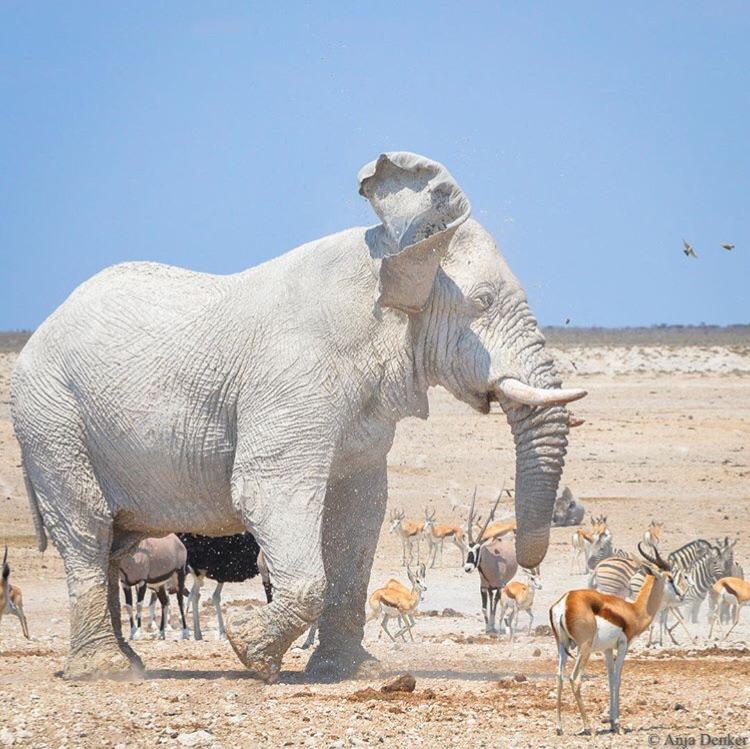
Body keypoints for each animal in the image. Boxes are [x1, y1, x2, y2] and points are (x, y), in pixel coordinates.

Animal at [11, 149, 588, 680]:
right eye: (483, 302)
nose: (520, 562)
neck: (391, 253)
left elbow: (359, 510)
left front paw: (351, 672)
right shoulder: (292, 379)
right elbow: (266, 490)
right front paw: (250, 653)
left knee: (114, 542)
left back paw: (125, 663)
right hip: (50, 418)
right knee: (87, 530)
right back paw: (107, 671)